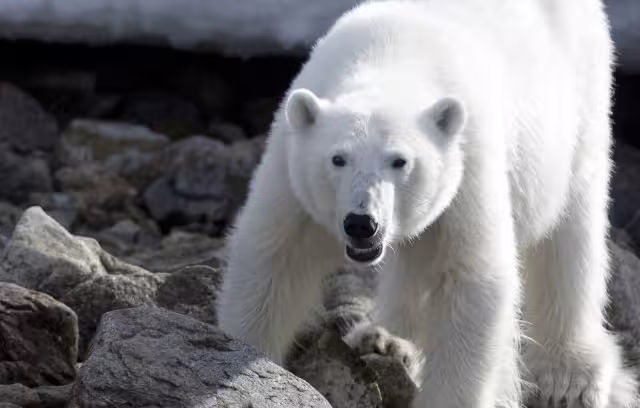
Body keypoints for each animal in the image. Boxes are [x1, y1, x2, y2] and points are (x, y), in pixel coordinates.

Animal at [218, 0, 638, 407]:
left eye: (400, 161)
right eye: (337, 158)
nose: (361, 223)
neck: (390, 58)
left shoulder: (467, 163)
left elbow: (471, 280)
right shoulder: (291, 167)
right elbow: (273, 260)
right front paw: (246, 351)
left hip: (579, 99)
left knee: (570, 229)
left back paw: (570, 375)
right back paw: (383, 338)